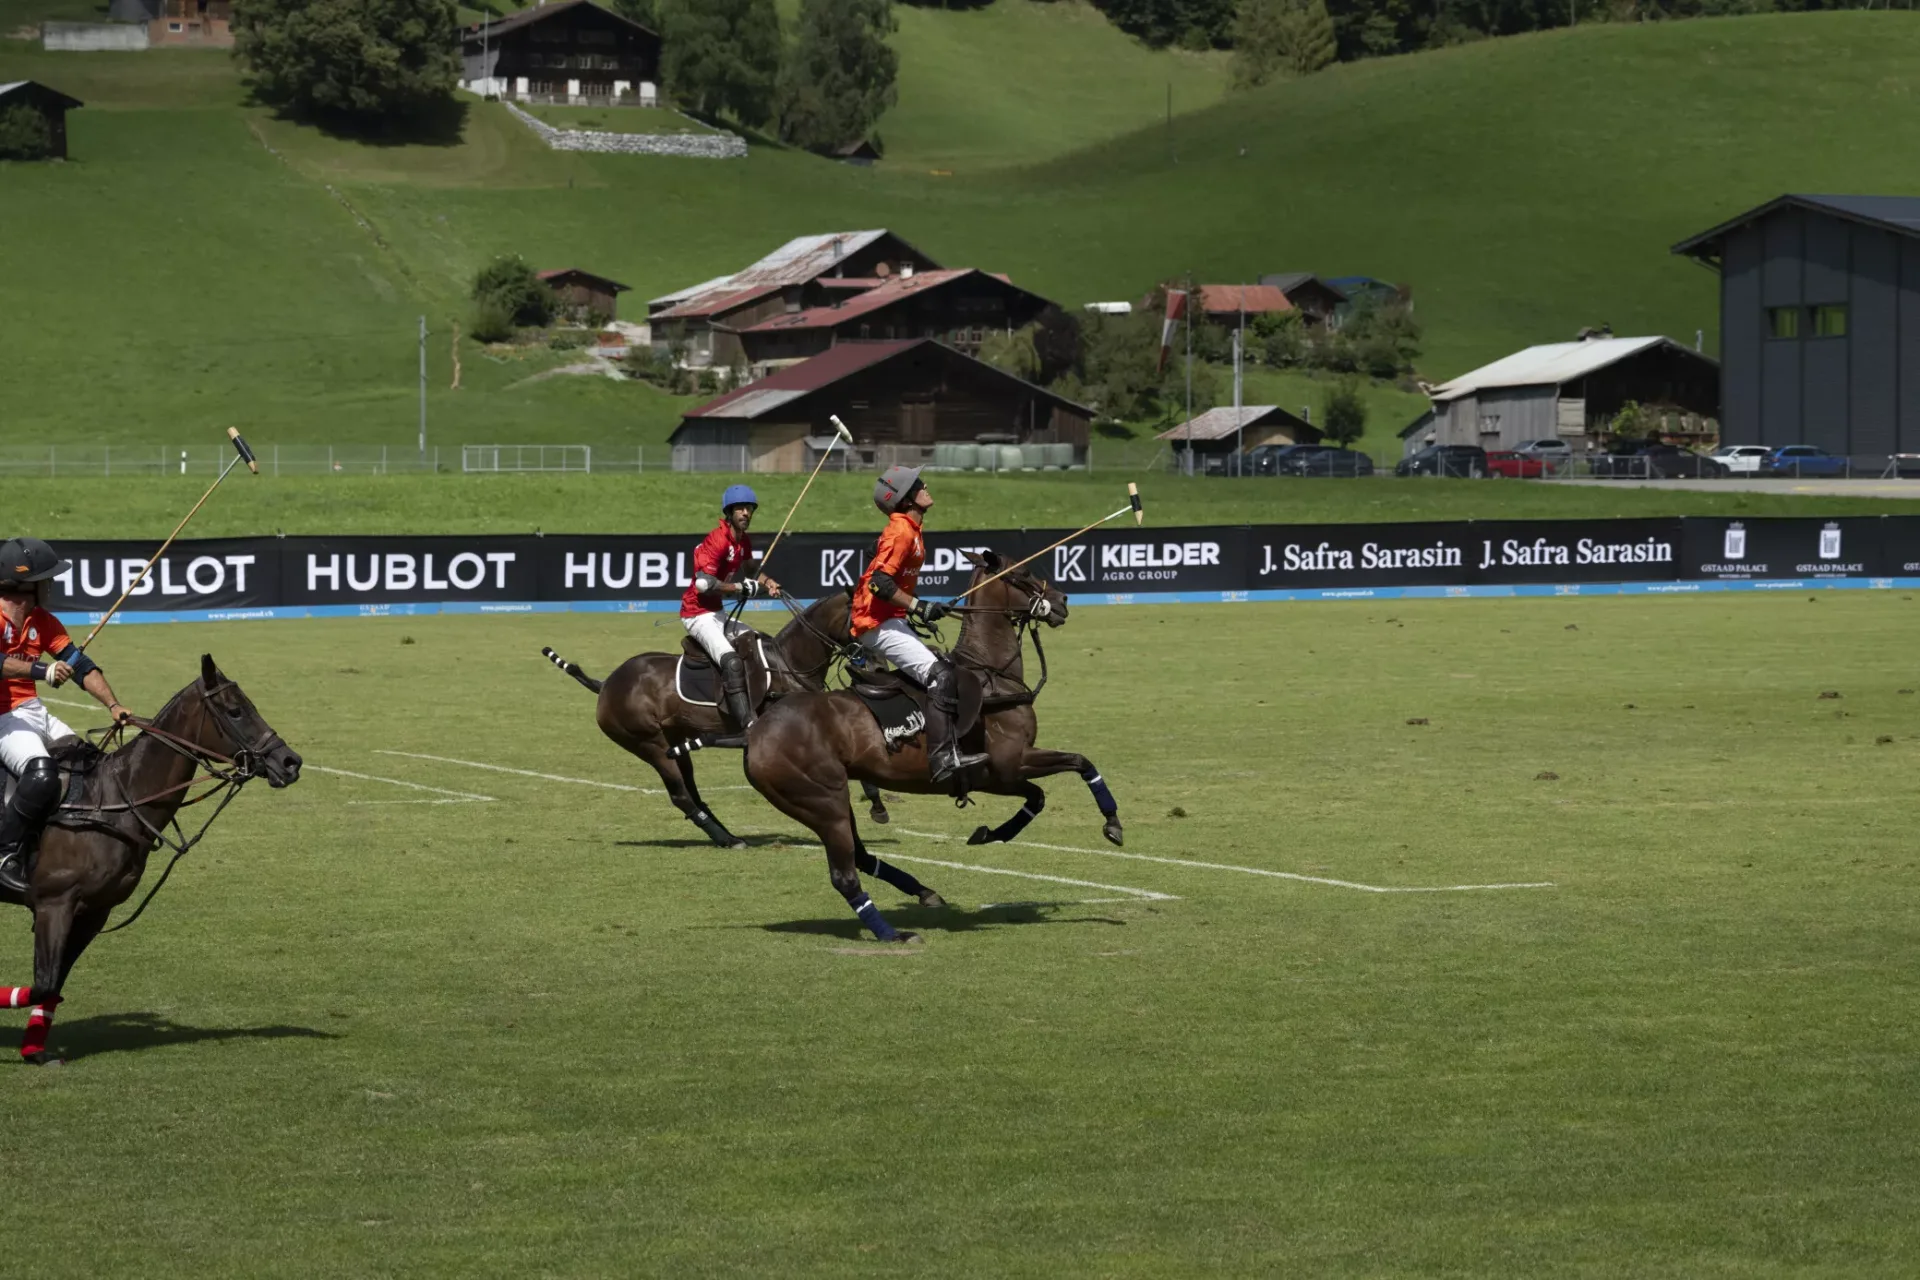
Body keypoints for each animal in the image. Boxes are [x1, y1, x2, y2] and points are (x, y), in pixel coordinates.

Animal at [1, 656, 301, 1066]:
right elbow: (43, 983)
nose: (290, 762)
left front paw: (35, 1051)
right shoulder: (53, 903)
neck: (114, 801)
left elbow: (53, 984)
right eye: (235, 711)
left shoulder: (94, 912)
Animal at [549, 591, 890, 852]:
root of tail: (605, 684)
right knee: (680, 795)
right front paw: (875, 807)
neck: (790, 663)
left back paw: (723, 834)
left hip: (675, 741)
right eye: (864, 620)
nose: (878, 667)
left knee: (691, 791)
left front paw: (877, 805)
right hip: (649, 744)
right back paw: (728, 838)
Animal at [737, 552, 1121, 940]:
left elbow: (1038, 797)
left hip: (824, 801)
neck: (992, 676)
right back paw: (892, 934)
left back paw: (923, 892)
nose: (1062, 601)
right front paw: (1113, 824)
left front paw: (989, 834)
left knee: (860, 856)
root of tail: (756, 732)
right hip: (821, 801)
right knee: (844, 875)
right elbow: (1080, 762)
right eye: (1024, 573)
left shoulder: (994, 776)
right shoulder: (1010, 763)